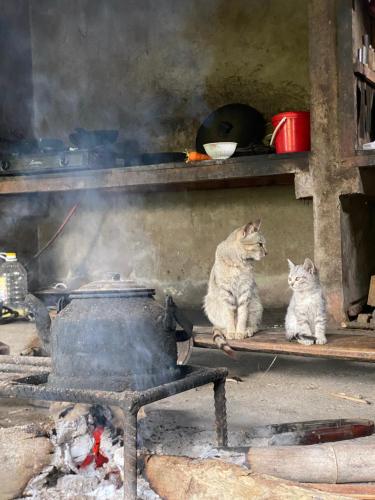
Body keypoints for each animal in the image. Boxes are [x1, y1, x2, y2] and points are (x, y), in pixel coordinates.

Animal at [203, 222, 268, 356]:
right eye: (260, 244)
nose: (267, 252)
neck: (240, 263)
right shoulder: (226, 293)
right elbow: (230, 316)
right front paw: (232, 332)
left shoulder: (245, 291)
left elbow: (242, 316)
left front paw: (240, 332)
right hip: (210, 304)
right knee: (219, 325)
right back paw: (225, 330)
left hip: (256, 305)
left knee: (255, 325)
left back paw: (248, 330)